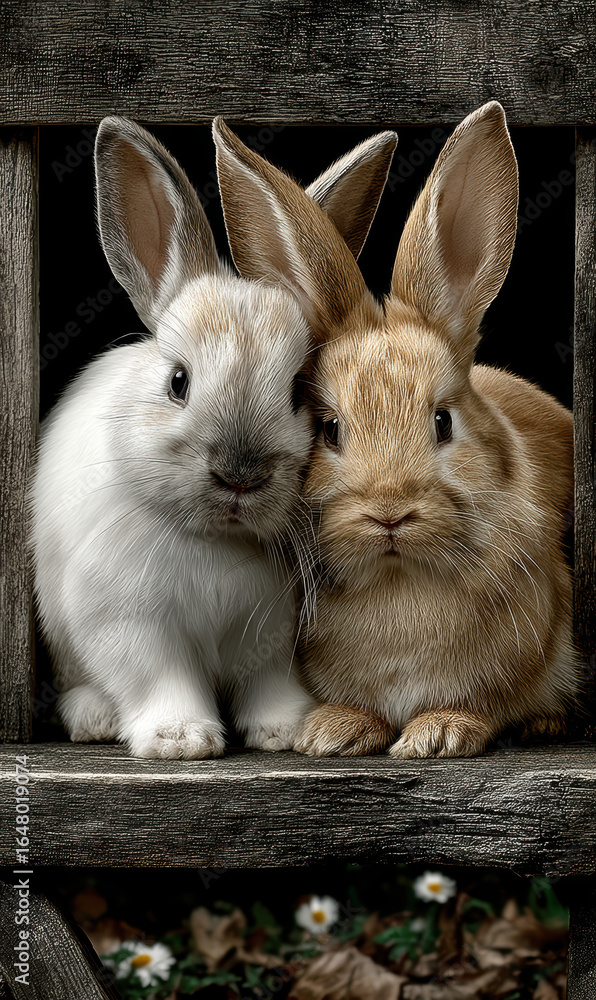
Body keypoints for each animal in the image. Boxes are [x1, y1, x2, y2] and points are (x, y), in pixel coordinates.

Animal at [30, 117, 398, 759]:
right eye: (178, 382)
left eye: (299, 390)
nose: (240, 476)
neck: (218, 541)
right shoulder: (129, 625)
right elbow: (160, 678)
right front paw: (180, 741)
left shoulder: (271, 637)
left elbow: (267, 683)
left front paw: (285, 730)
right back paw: (92, 718)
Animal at [212, 103, 579, 759]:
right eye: (330, 429)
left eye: (442, 421)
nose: (389, 511)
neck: (398, 576)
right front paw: (334, 731)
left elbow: (483, 706)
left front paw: (438, 734)